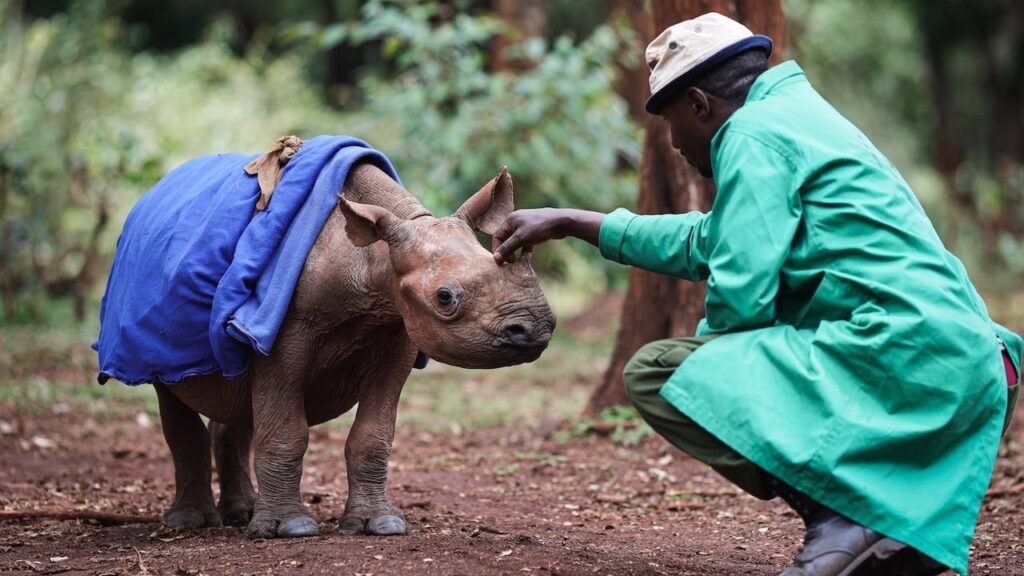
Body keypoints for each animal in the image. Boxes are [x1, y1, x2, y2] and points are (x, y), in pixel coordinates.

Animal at [149, 163, 555, 538]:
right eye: (445, 298)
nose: (535, 330)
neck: (373, 259)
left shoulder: (398, 329)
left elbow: (373, 435)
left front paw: (380, 524)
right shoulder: (282, 333)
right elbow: (286, 430)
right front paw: (289, 528)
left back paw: (242, 514)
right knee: (170, 389)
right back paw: (190, 523)